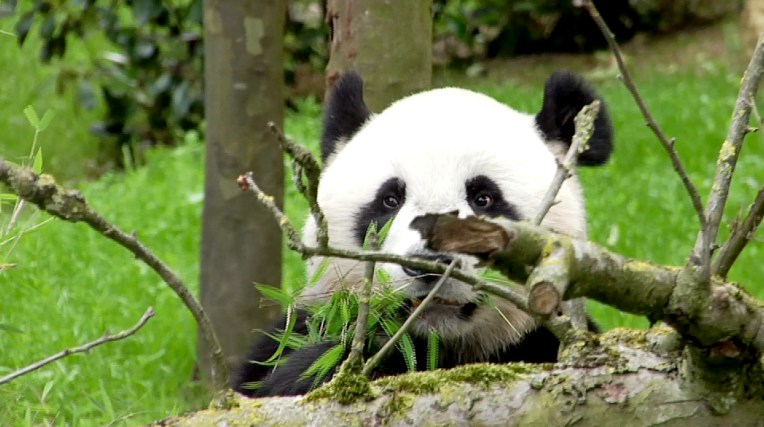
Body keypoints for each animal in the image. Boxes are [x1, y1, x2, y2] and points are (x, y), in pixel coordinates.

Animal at [234, 70, 613, 397]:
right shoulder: (295, 332)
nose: (429, 264)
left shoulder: (545, 344)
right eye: (390, 199)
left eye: (484, 199)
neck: (429, 346)